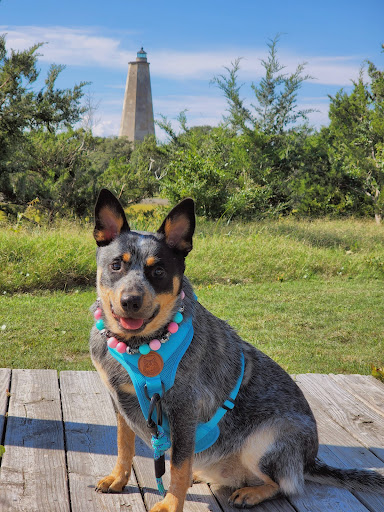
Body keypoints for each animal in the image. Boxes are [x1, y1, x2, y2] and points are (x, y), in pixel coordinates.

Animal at [91, 189, 384, 512]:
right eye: (116, 265)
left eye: (158, 270)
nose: (130, 300)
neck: (140, 345)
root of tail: (310, 460)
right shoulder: (119, 402)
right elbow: (124, 445)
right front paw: (119, 478)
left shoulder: (184, 409)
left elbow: (178, 465)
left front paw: (171, 503)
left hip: (267, 438)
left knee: (286, 485)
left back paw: (252, 492)